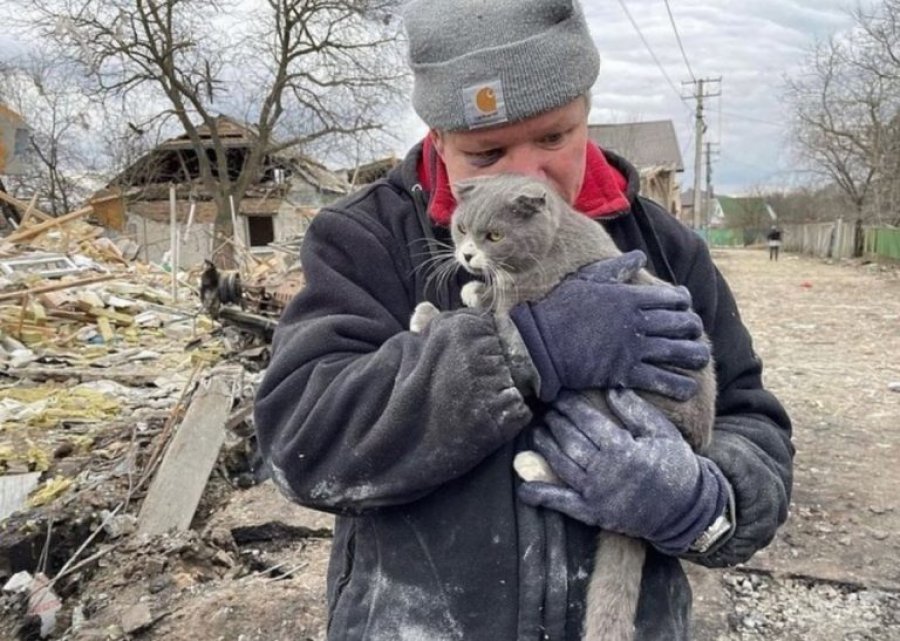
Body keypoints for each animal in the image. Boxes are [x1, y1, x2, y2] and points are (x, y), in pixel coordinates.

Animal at [410, 172, 716, 640]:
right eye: (461, 228)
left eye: (494, 236)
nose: (466, 255)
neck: (548, 247)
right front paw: (473, 289)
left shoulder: (523, 308)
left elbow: (494, 325)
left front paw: (428, 314)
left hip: (609, 397)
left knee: (585, 477)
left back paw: (535, 465)